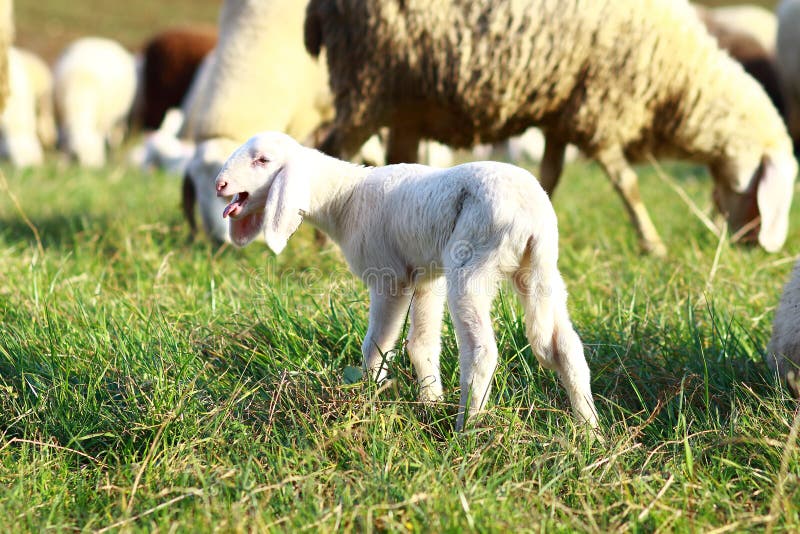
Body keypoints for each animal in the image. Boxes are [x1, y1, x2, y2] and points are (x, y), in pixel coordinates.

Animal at [53, 37, 138, 168]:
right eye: (79, 161)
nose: (93, 171)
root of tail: (100, 40)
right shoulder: (61, 121)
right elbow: (64, 143)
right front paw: (62, 164)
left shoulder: (103, 123)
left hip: (119, 118)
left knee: (115, 139)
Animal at [214, 131, 599, 432]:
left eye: (262, 160)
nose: (220, 185)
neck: (344, 199)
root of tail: (532, 216)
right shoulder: (426, 276)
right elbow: (421, 344)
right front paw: (429, 403)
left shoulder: (389, 276)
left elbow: (378, 345)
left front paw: (368, 395)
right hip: (542, 273)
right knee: (565, 346)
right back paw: (589, 430)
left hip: (472, 265)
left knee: (482, 351)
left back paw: (467, 429)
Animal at [305, 0, 798, 257]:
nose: (747, 244)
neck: (675, 76)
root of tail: (319, 9)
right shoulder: (599, 107)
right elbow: (627, 184)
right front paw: (653, 244)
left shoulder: (566, 112)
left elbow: (549, 178)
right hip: (368, 82)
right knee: (333, 148)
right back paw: (323, 244)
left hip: (404, 101)